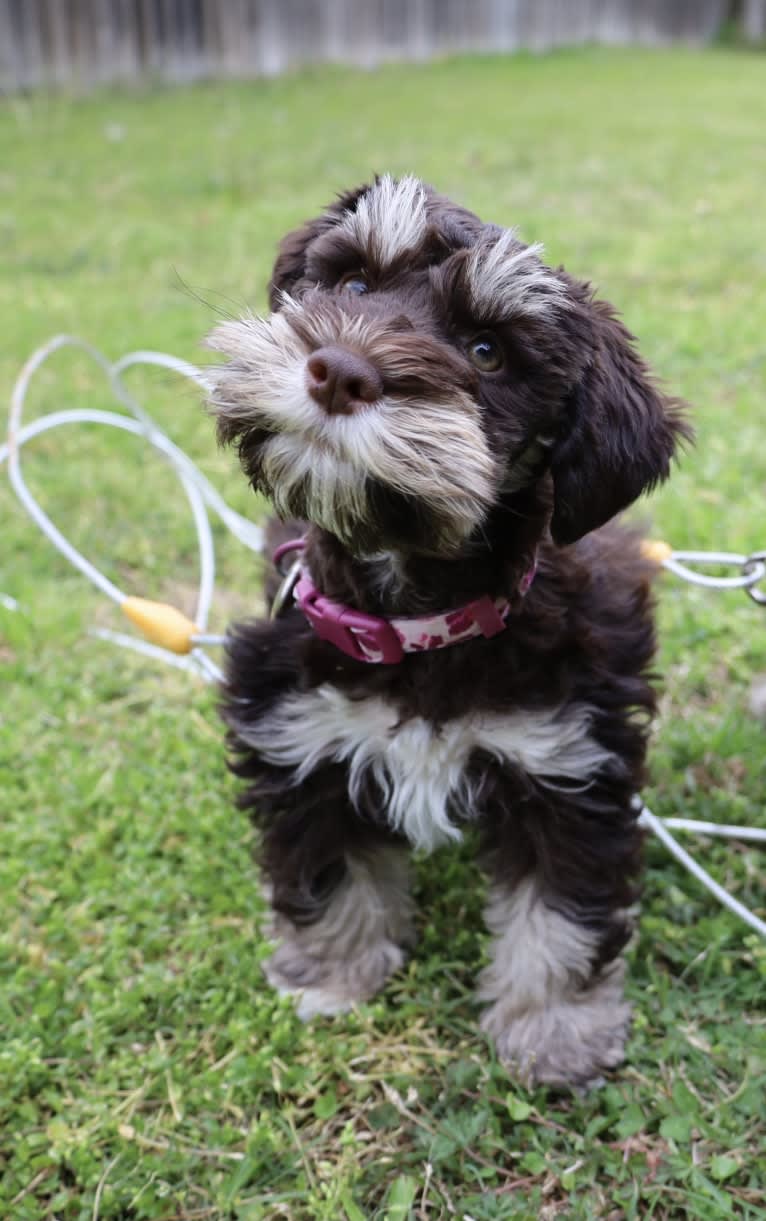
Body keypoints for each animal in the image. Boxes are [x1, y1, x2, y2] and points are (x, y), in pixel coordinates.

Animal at [204, 174, 689, 1089]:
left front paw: (556, 1031)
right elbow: (326, 867)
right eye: (355, 282)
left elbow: (561, 911)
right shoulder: (298, 734)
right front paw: (330, 973)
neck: (418, 623)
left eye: (488, 351)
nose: (339, 370)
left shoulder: (571, 763)